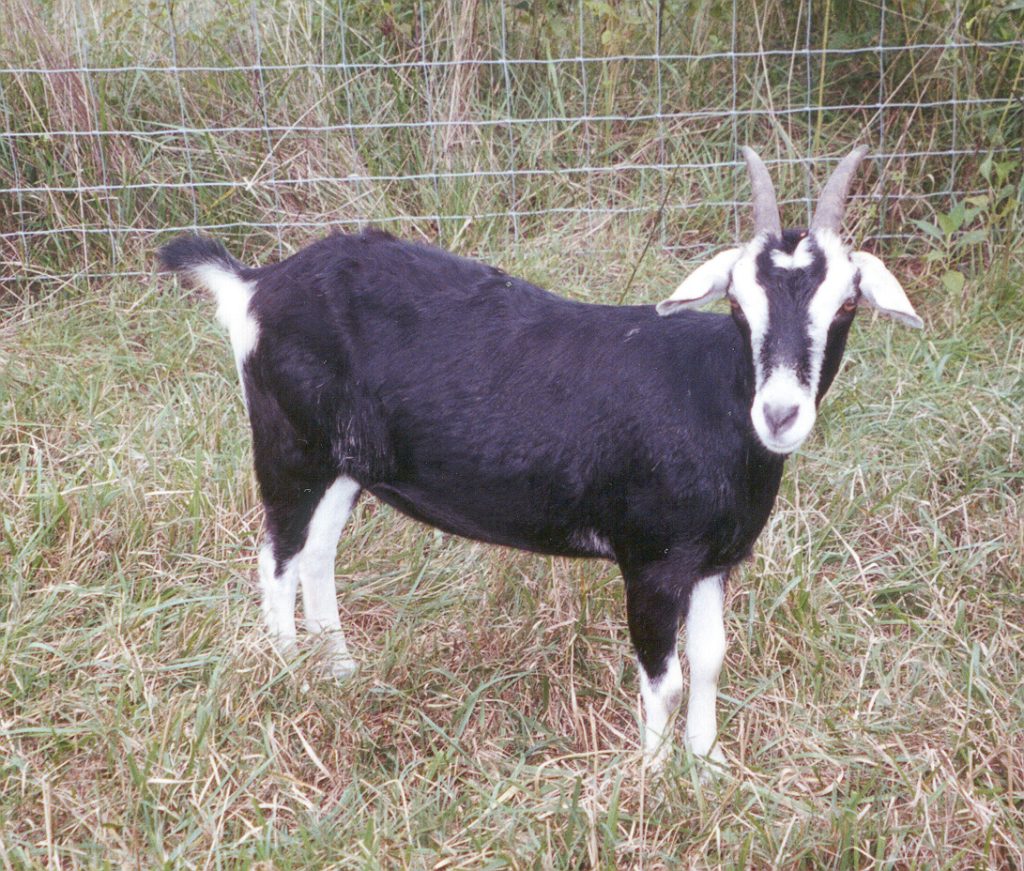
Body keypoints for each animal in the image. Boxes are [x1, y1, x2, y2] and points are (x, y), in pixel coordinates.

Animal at [158, 147, 922, 769]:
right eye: (739, 303)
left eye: (846, 303)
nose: (781, 413)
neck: (715, 397)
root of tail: (254, 286)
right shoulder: (652, 561)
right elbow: (667, 680)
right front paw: (649, 782)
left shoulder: (716, 559)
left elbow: (709, 663)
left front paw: (708, 768)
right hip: (291, 445)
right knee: (277, 556)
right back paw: (291, 678)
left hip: (348, 462)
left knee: (317, 552)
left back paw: (341, 671)